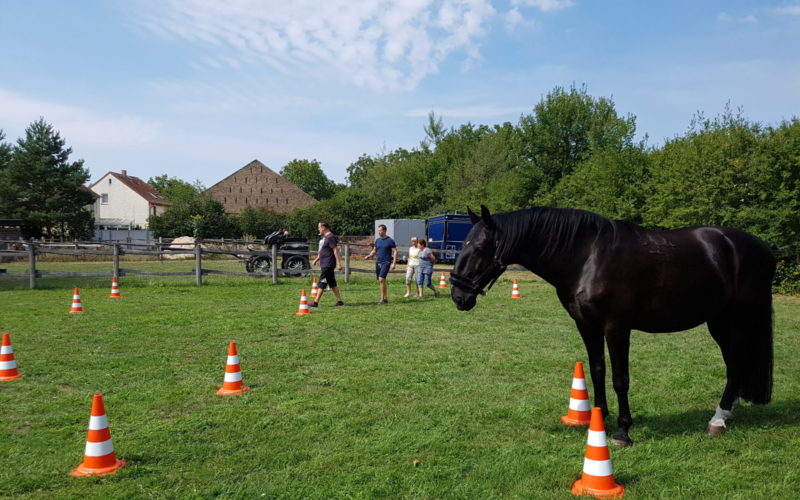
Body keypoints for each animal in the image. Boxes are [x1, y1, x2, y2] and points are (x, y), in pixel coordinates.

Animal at [454, 205, 772, 448]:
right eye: (464, 244)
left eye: (480, 247)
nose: (459, 296)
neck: (588, 256)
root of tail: (758, 246)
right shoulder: (586, 325)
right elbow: (597, 370)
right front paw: (598, 418)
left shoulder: (616, 328)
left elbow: (620, 378)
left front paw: (622, 431)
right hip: (718, 320)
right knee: (734, 362)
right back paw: (726, 413)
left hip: (738, 319)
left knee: (736, 362)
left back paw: (718, 419)